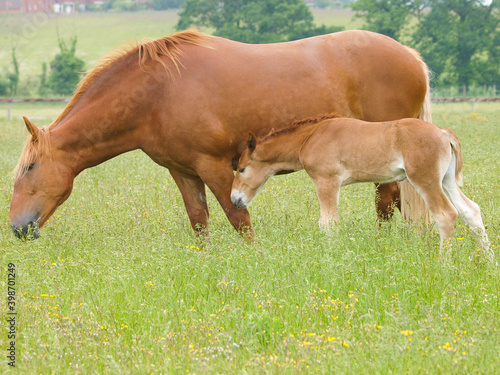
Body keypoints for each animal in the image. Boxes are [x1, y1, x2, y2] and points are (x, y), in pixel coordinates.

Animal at [12, 30, 430, 241]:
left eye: (29, 168)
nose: (17, 227)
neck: (157, 93)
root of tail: (411, 55)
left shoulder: (214, 166)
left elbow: (238, 219)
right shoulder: (183, 171)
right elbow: (199, 221)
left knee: (387, 200)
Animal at [232, 116, 494, 262]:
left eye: (242, 168)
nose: (235, 198)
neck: (311, 137)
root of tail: (442, 132)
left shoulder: (327, 182)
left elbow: (328, 224)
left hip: (425, 181)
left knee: (446, 214)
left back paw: (443, 263)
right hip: (446, 181)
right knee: (471, 211)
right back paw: (490, 260)